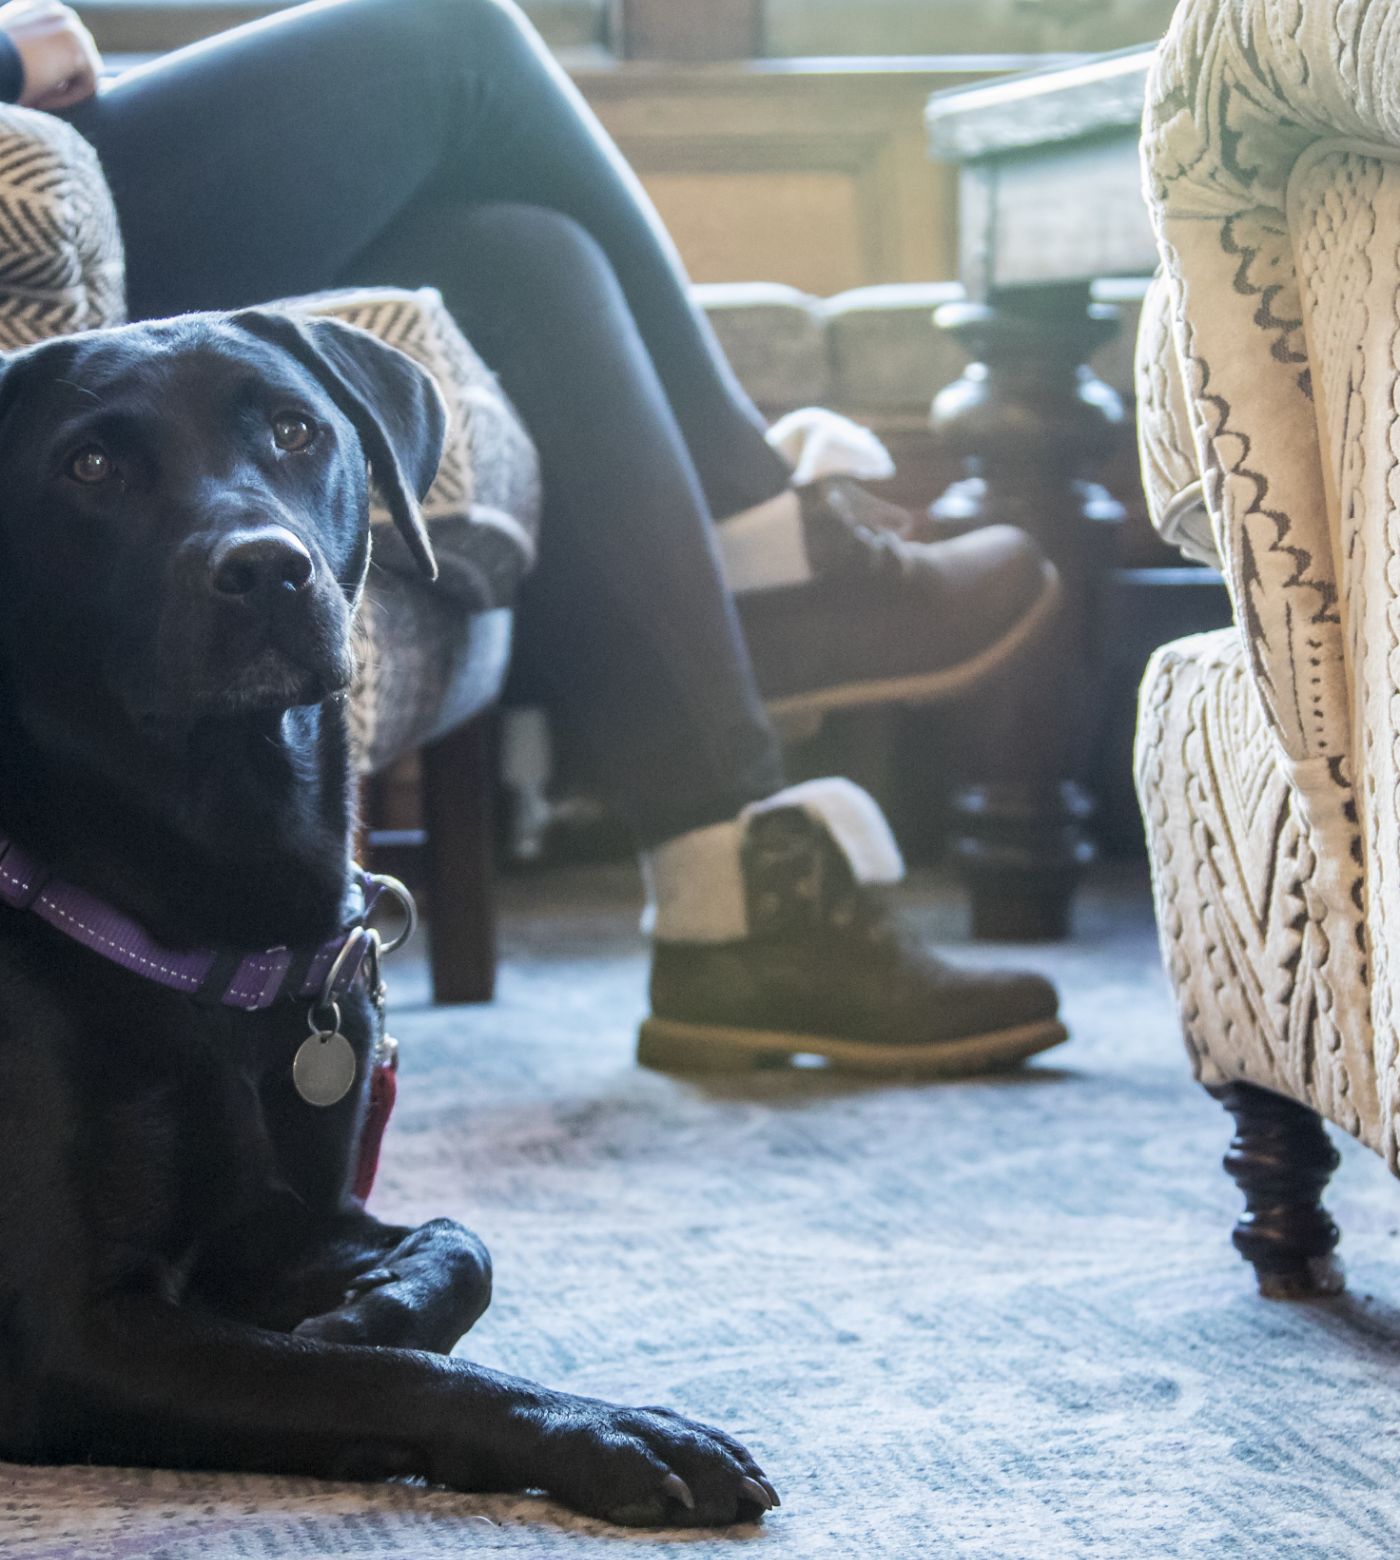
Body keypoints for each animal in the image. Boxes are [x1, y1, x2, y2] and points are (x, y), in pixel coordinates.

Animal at [0, 310, 774, 1528]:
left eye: (295, 430)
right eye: (88, 467)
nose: (266, 569)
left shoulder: (278, 1218)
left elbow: (459, 1243)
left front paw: (366, 1303)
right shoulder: (64, 1339)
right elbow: (376, 1378)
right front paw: (610, 1429)